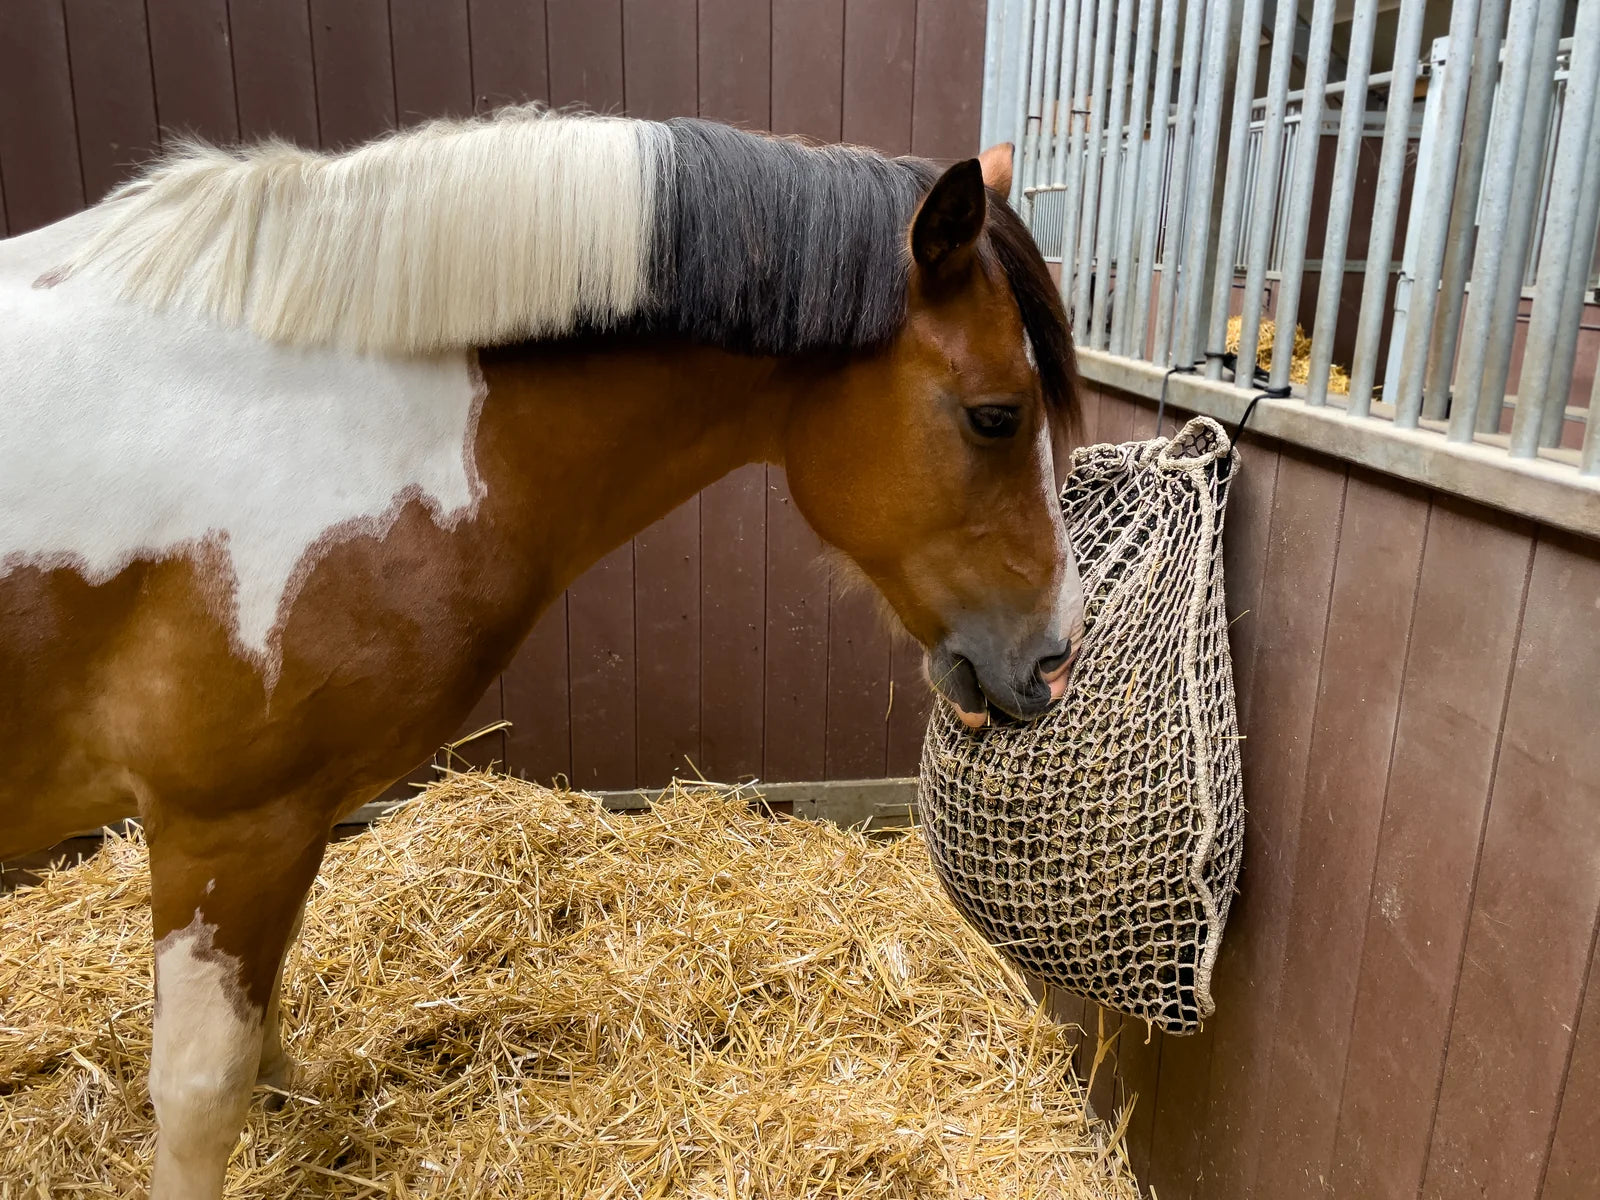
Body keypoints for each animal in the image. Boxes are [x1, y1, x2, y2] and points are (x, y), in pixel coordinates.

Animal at [0, 107, 1083, 1199]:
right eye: (997, 416)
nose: (1052, 658)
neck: (332, 420)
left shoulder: (288, 823)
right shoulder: (225, 826)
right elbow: (200, 1091)